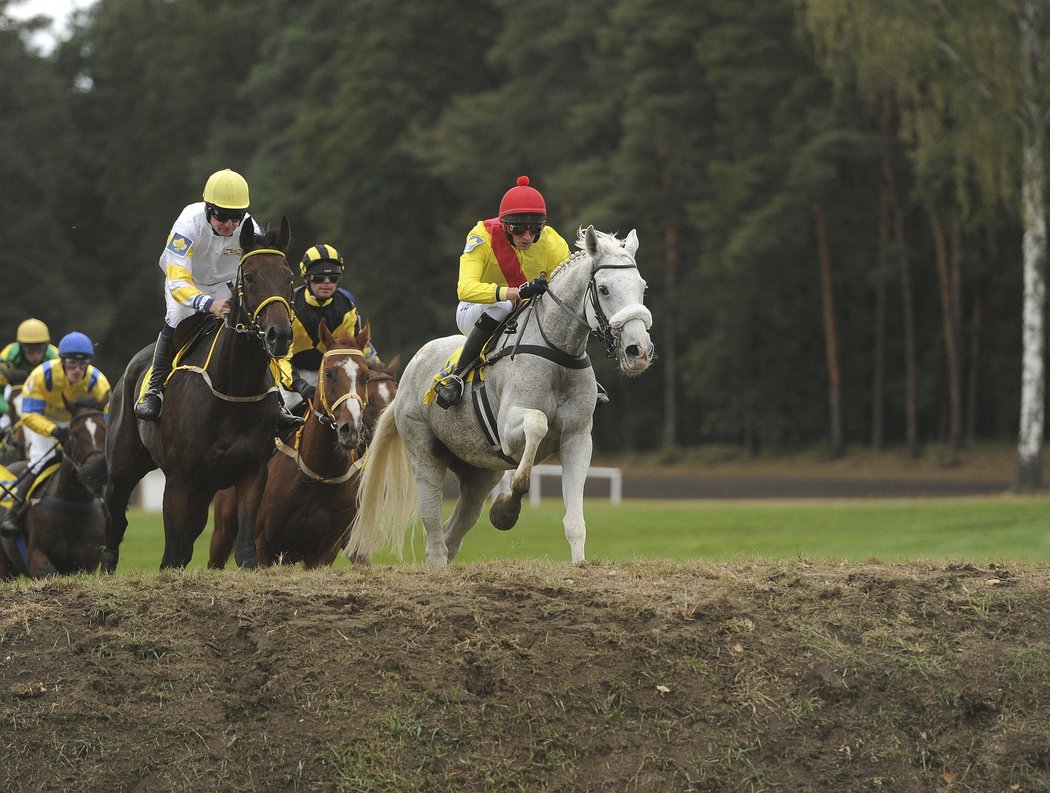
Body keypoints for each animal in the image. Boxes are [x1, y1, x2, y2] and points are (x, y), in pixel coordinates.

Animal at [0, 394, 108, 575]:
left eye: (105, 429)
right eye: (74, 433)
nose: (94, 472)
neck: (73, 503)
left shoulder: (89, 563)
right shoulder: (37, 557)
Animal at [99, 218, 294, 571]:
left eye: (289, 277)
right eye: (249, 276)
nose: (280, 335)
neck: (233, 387)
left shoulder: (253, 471)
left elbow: (245, 551)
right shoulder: (179, 479)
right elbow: (171, 556)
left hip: (205, 488)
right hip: (123, 467)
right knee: (116, 519)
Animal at [207, 323, 396, 571]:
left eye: (365, 376)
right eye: (329, 373)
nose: (350, 428)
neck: (317, 473)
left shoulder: (326, 550)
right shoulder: (262, 545)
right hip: (223, 531)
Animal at [348, 226, 651, 567]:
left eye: (642, 286)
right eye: (604, 289)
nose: (638, 350)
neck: (557, 353)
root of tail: (409, 372)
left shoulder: (577, 438)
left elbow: (574, 520)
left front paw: (579, 563)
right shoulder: (508, 429)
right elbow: (536, 426)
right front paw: (506, 510)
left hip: (480, 471)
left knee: (456, 528)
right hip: (424, 452)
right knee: (433, 527)